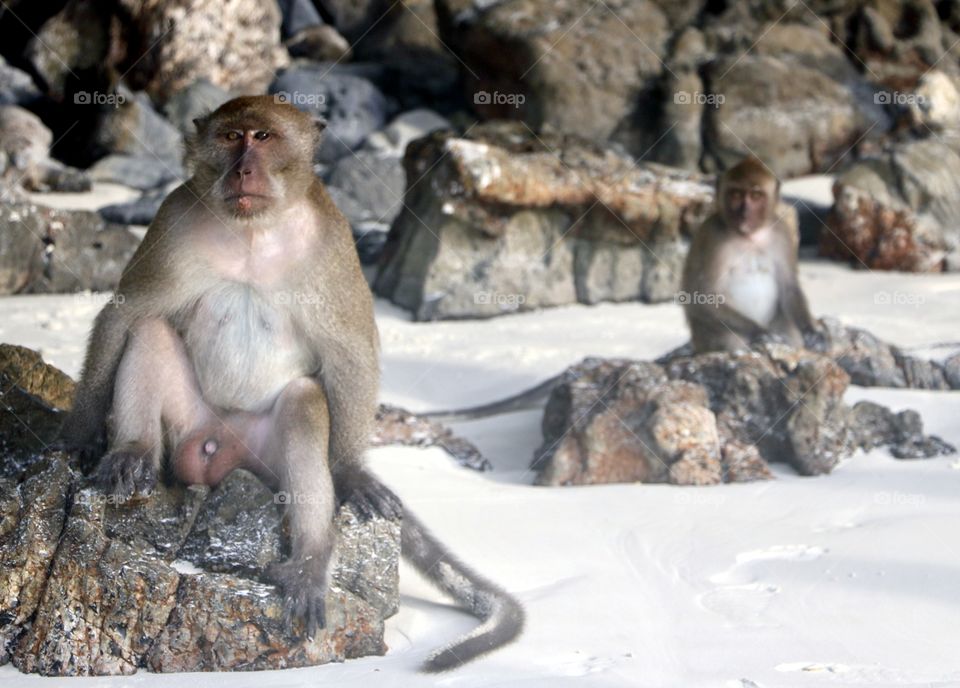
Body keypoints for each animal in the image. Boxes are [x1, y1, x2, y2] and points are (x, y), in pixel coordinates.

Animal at [58, 96, 522, 671]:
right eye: (230, 136)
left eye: (263, 136)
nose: (243, 167)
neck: (254, 229)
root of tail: (219, 446)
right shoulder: (173, 221)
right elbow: (126, 315)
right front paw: (82, 433)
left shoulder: (333, 240)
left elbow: (350, 350)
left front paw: (351, 471)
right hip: (189, 429)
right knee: (150, 331)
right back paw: (133, 454)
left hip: (262, 457)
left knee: (305, 402)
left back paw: (309, 558)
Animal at [681, 155, 815, 354]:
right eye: (736, 194)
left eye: (756, 195)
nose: (745, 211)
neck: (749, 236)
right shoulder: (713, 237)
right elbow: (703, 295)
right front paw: (761, 332)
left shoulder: (781, 232)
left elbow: (789, 286)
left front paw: (811, 331)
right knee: (729, 338)